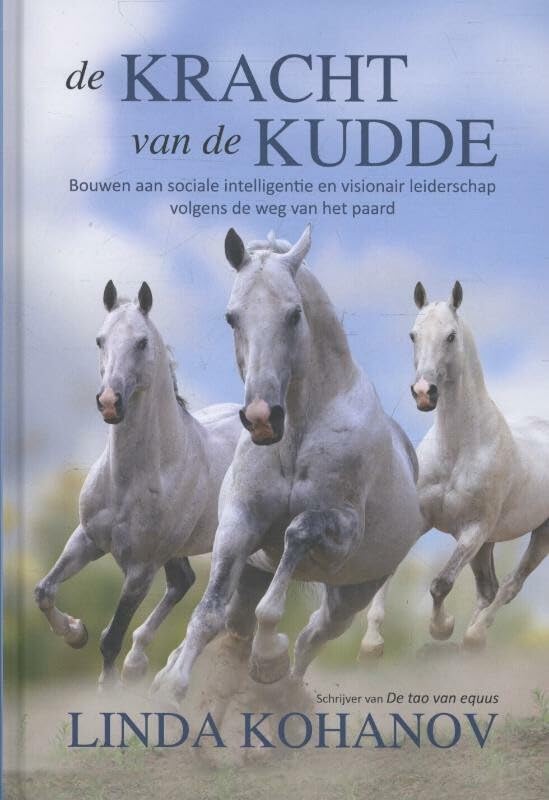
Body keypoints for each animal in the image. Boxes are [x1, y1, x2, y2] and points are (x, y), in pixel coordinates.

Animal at [34, 281, 242, 688]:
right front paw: (75, 633)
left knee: (219, 606)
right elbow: (44, 592)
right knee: (183, 581)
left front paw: (110, 687)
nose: (109, 402)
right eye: (100, 340)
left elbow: (110, 638)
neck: (133, 478)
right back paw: (140, 662)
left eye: (142, 342)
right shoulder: (87, 540)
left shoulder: (141, 569)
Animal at [150, 226, 422, 704]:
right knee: (237, 622)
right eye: (232, 317)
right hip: (253, 574)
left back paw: (281, 687)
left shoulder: (341, 532)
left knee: (312, 636)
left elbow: (296, 536)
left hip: (352, 594)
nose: (262, 418)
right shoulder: (239, 524)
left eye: (294, 315)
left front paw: (267, 656)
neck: (297, 432)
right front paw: (172, 685)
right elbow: (208, 612)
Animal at [360, 281, 549, 655]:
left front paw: (441, 626)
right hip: (488, 542)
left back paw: (474, 634)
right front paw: (372, 642)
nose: (424, 392)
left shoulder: (472, 529)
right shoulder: (422, 518)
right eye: (413, 334)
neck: (458, 449)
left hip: (538, 535)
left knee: (510, 585)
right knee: (489, 588)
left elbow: (441, 583)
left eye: (450, 336)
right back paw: (471, 640)